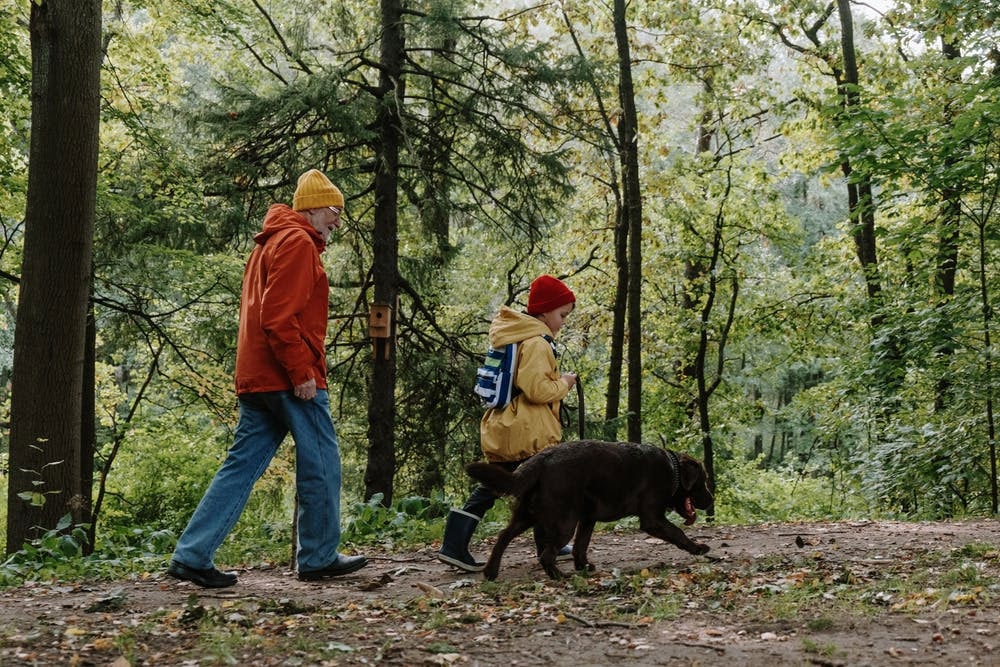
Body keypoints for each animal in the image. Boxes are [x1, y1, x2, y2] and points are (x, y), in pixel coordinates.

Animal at [466, 438, 712, 580]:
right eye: (703, 481)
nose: (711, 501)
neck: (673, 469)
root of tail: (541, 459)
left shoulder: (588, 519)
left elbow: (581, 546)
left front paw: (583, 565)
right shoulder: (652, 518)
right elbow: (677, 532)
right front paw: (698, 548)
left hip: (527, 515)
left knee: (503, 536)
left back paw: (490, 571)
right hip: (563, 523)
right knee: (546, 554)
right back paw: (558, 575)